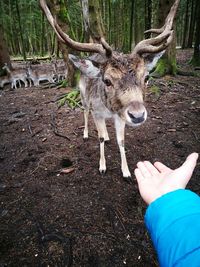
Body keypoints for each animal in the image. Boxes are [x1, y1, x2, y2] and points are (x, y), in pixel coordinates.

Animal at [40, 0, 180, 180]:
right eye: (107, 80)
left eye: (146, 77)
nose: (137, 115)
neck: (108, 108)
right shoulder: (97, 111)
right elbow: (98, 137)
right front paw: (102, 166)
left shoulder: (119, 115)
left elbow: (121, 141)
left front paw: (126, 172)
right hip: (84, 97)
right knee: (85, 112)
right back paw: (86, 134)